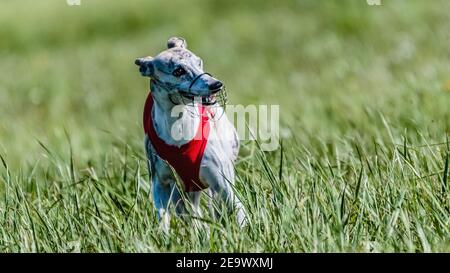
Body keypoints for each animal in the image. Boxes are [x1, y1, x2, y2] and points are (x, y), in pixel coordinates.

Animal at [134, 35, 246, 227]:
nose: (216, 84)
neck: (179, 127)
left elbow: (239, 213)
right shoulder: (160, 185)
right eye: (178, 71)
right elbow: (163, 221)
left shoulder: (223, 185)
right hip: (185, 192)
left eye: (199, 62)